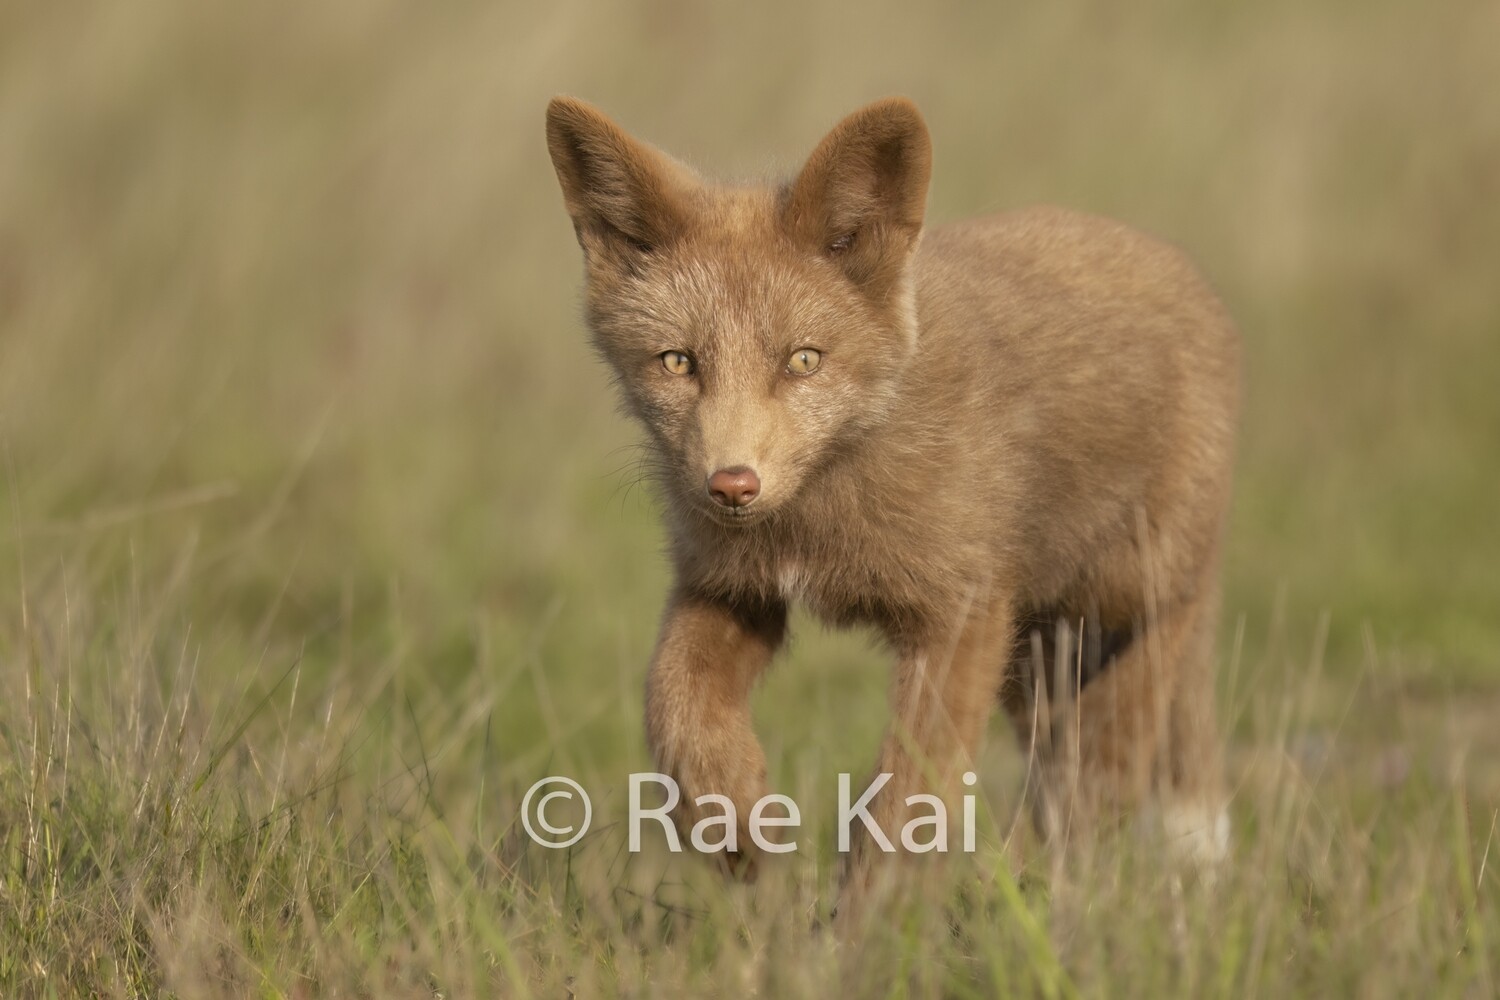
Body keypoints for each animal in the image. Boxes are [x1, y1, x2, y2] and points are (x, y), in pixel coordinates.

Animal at [544, 95, 1240, 913]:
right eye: (679, 362)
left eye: (803, 360)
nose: (731, 486)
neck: (822, 521)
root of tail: (1179, 267)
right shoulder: (730, 589)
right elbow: (675, 710)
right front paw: (737, 827)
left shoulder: (961, 614)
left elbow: (909, 794)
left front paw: (868, 923)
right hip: (1034, 660)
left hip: (1122, 605)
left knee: (1110, 772)